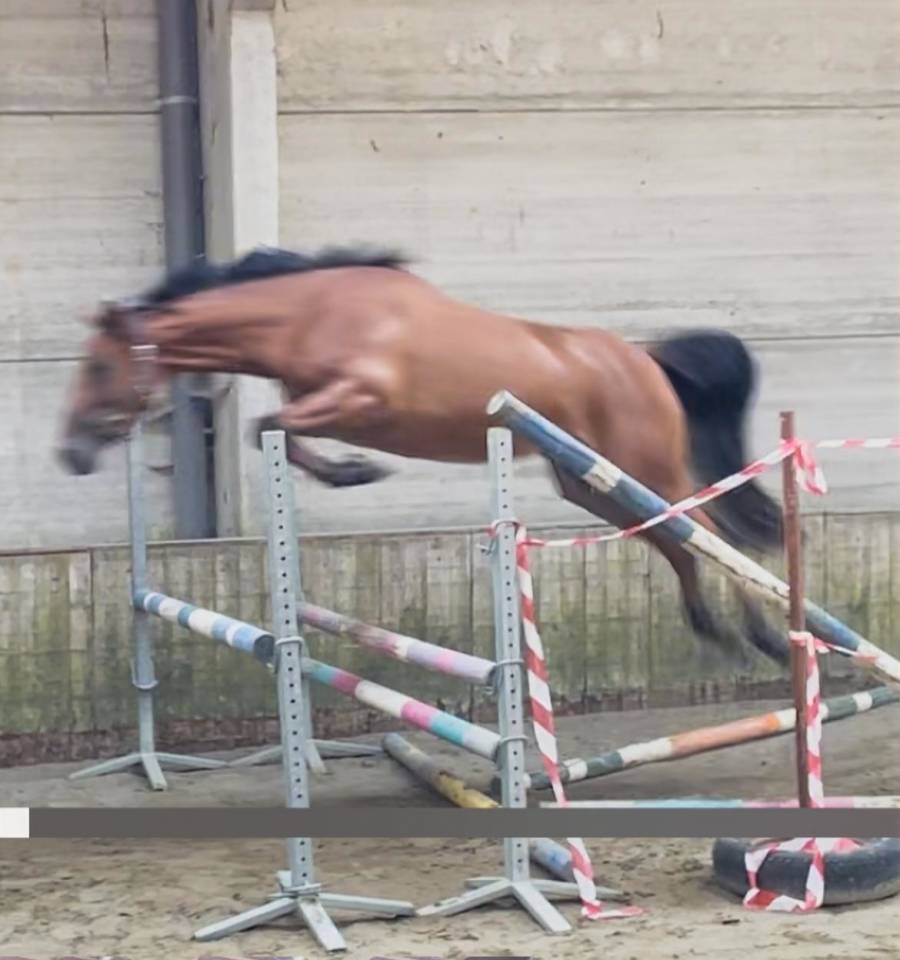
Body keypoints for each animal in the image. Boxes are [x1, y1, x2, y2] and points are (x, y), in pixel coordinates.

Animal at [57, 245, 789, 668]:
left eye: (97, 367)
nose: (70, 453)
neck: (308, 312)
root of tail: (647, 360)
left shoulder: (358, 398)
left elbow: (269, 425)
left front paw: (357, 471)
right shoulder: (317, 401)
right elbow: (275, 430)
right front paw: (352, 472)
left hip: (641, 466)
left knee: (708, 532)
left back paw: (767, 640)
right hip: (592, 483)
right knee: (674, 542)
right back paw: (718, 634)